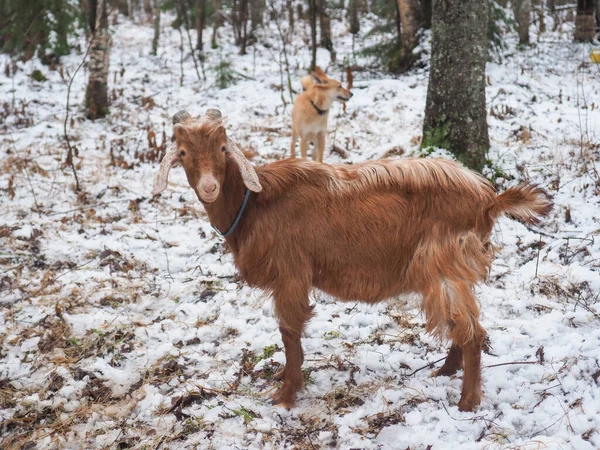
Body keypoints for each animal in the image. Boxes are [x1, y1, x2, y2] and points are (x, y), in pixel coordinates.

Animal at [154, 109, 552, 412]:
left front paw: (286, 394)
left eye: (223, 148)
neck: (255, 203)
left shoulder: (291, 274)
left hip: (442, 263)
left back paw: (467, 402)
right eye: (184, 153)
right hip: (449, 270)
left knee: (472, 332)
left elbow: (289, 333)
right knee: (461, 323)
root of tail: (489, 199)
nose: (209, 187)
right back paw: (444, 373)